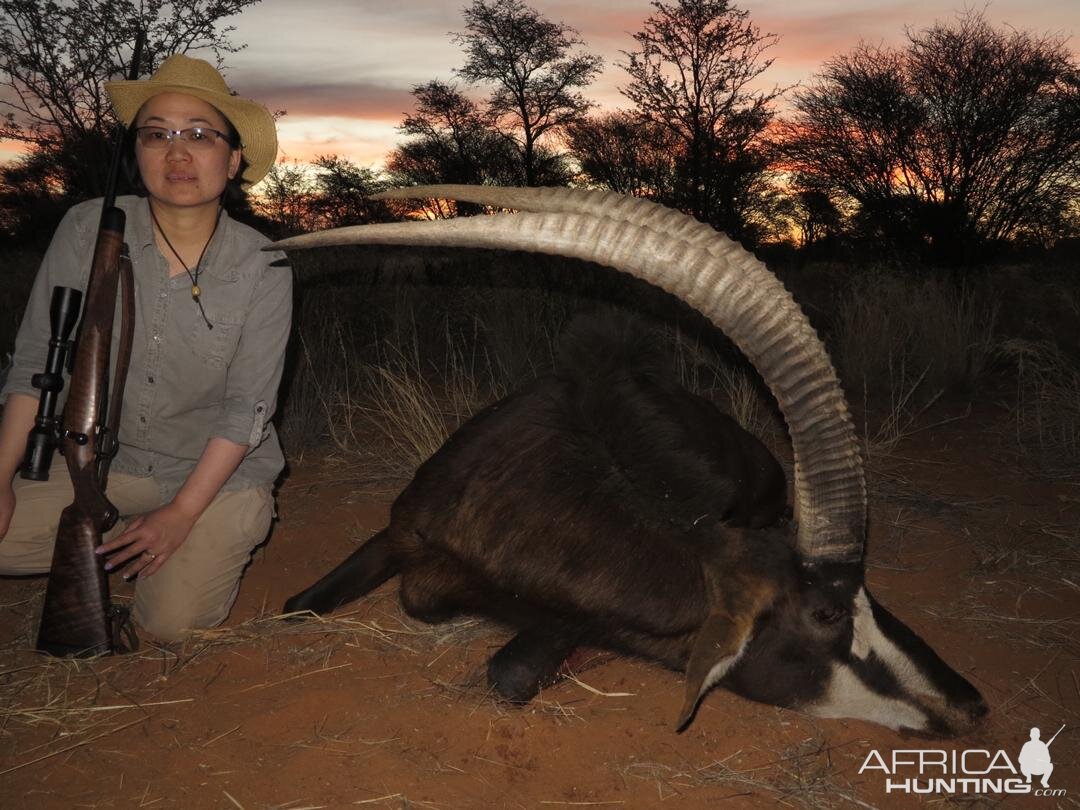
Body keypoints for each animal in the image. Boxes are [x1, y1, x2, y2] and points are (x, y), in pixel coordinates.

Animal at [276, 189, 989, 734]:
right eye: (827, 614)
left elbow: (513, 669)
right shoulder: (397, 533)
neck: (517, 496)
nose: (970, 705)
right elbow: (296, 607)